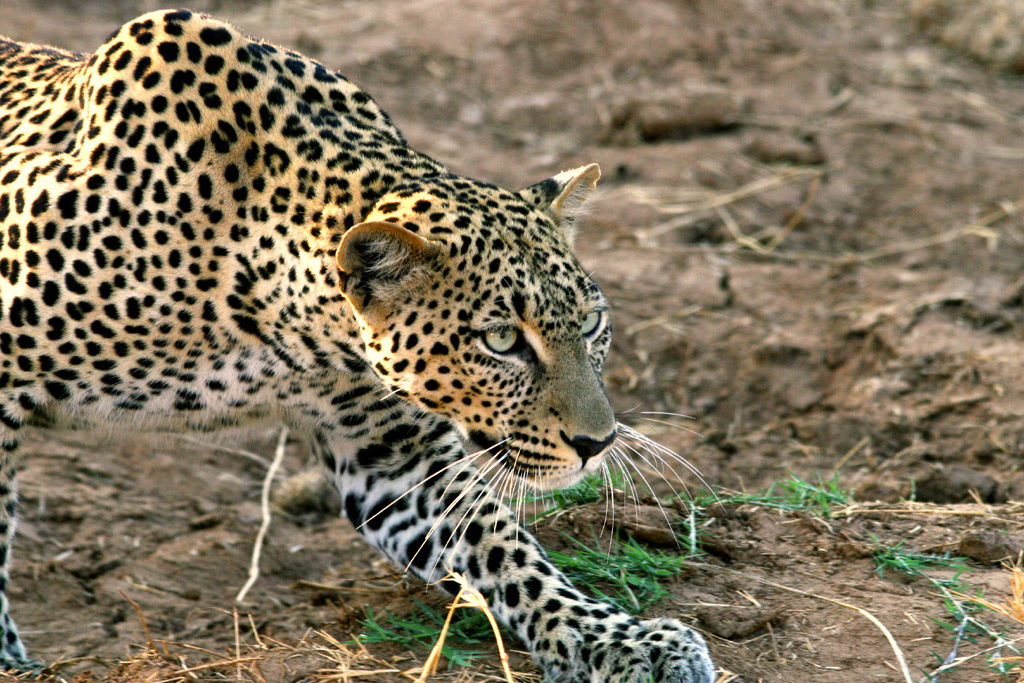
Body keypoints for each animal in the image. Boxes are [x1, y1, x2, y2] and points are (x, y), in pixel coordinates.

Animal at [0, 10, 714, 682]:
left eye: (590, 325)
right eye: (502, 339)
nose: (598, 443)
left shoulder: (393, 456)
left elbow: (502, 547)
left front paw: (614, 639)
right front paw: (9, 660)